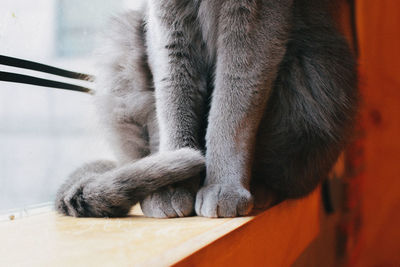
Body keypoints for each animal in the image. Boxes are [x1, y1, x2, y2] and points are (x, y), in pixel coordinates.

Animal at [54, 0, 358, 218]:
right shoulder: (166, 20)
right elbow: (173, 98)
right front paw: (173, 187)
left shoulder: (256, 16)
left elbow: (231, 107)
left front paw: (223, 187)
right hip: (123, 39)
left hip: (319, 66)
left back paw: (261, 190)